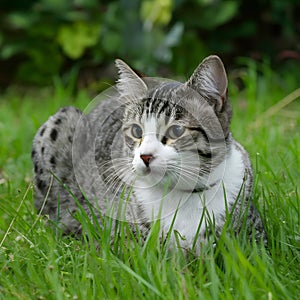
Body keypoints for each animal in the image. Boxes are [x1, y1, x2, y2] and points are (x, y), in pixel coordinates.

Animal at [31, 55, 264, 252]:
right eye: (136, 131)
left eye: (176, 131)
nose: (145, 156)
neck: (183, 194)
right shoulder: (121, 239)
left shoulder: (253, 235)